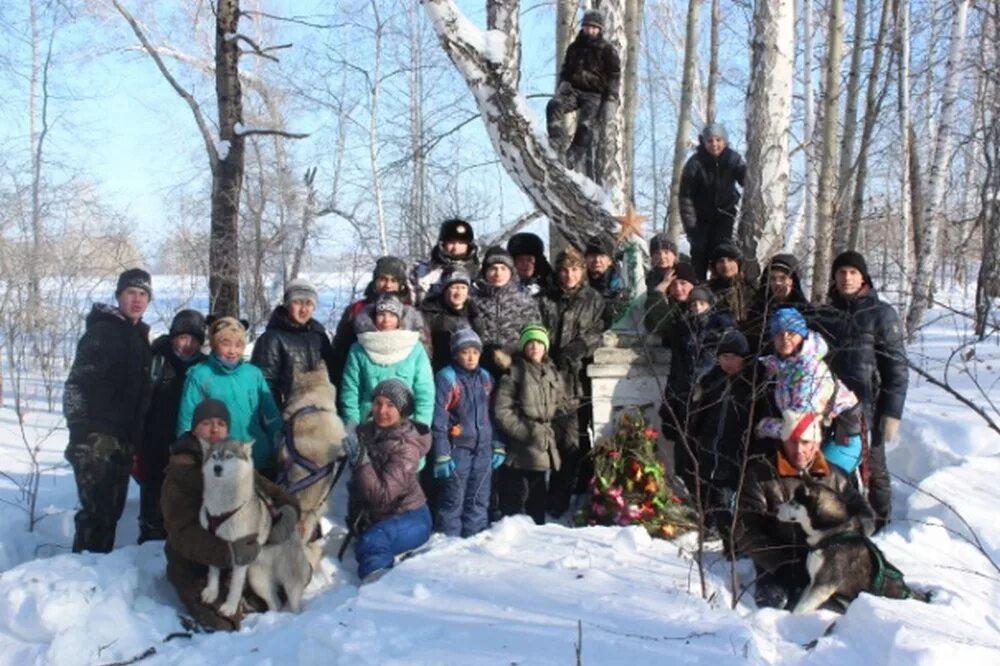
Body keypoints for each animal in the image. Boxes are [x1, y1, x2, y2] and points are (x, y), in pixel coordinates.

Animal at [200, 436, 312, 616]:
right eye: (214, 456)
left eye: (229, 456)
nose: (217, 468)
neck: (223, 508)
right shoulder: (213, 542)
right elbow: (213, 571)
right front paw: (211, 592)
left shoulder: (241, 555)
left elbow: (235, 586)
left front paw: (230, 607)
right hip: (258, 578)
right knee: (275, 603)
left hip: (285, 581)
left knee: (293, 605)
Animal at [772, 478, 928, 612]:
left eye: (793, 502)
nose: (775, 509)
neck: (831, 534)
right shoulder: (813, 583)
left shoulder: (823, 586)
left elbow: (799, 611)